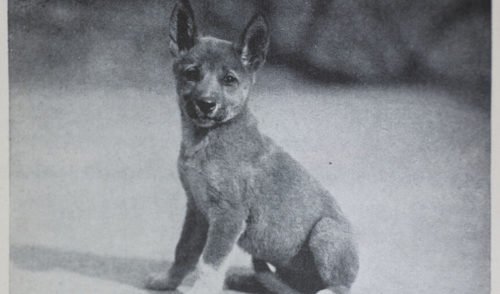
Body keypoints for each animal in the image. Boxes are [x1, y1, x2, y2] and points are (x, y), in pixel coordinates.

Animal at [146, 1, 358, 292]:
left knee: (337, 286)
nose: (206, 104)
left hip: (326, 232)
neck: (208, 138)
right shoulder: (196, 210)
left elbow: (209, 264)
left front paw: (200, 288)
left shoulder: (228, 216)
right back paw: (249, 279)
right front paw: (168, 280)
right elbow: (184, 251)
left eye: (229, 80)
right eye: (192, 73)